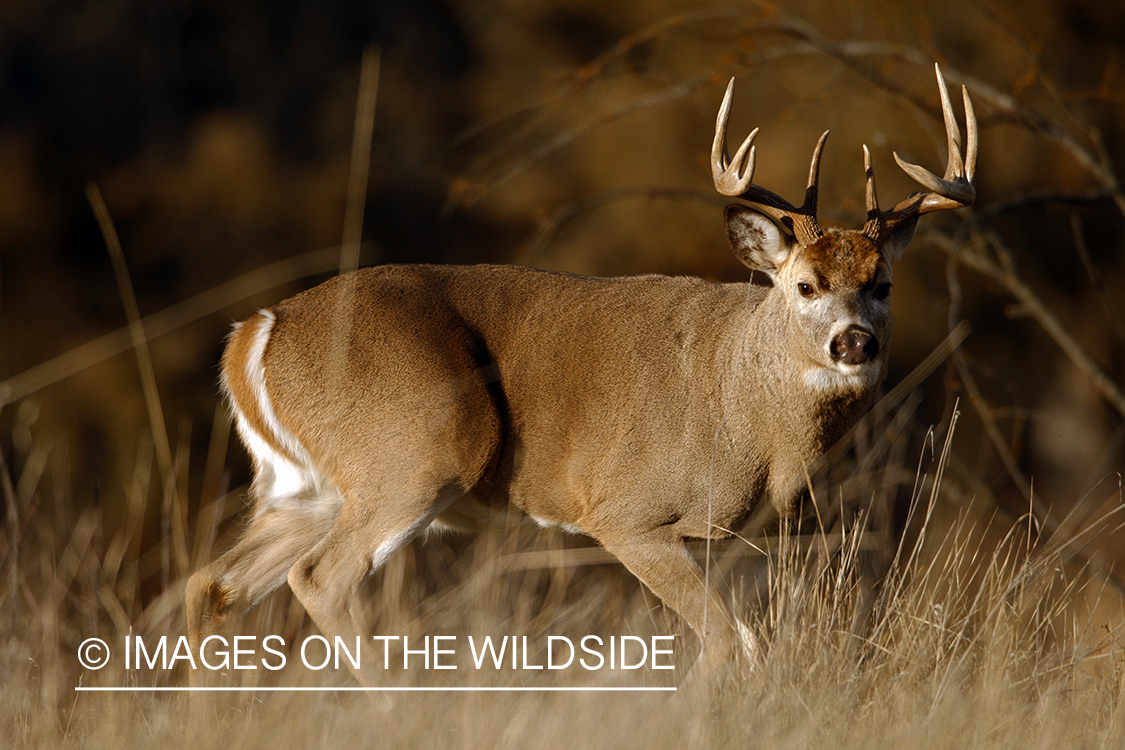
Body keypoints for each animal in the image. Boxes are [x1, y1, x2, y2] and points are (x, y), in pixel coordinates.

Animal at [186, 64, 976, 688]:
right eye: (806, 285)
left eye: (883, 284)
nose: (854, 343)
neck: (749, 416)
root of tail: (253, 332)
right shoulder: (626, 512)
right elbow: (730, 645)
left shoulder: (731, 542)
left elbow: (746, 641)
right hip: (417, 452)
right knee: (317, 579)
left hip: (306, 488)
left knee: (212, 585)